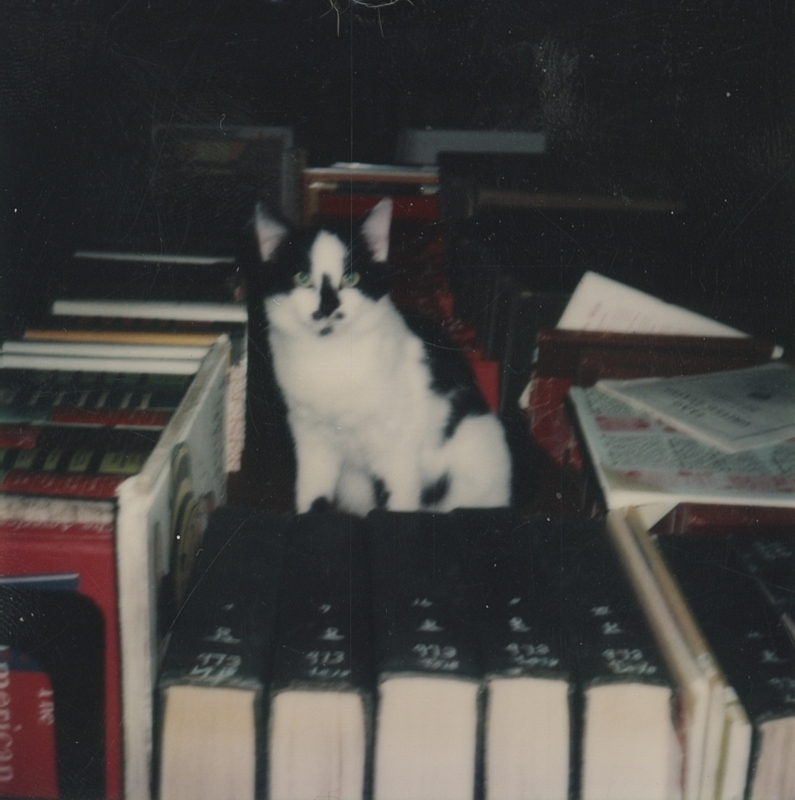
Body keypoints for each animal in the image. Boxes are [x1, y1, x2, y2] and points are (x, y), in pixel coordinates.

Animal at [256, 197, 516, 516]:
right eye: (302, 278)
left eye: (351, 278)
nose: (328, 307)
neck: (331, 357)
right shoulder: (311, 438)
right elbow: (311, 494)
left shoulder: (397, 453)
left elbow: (398, 503)